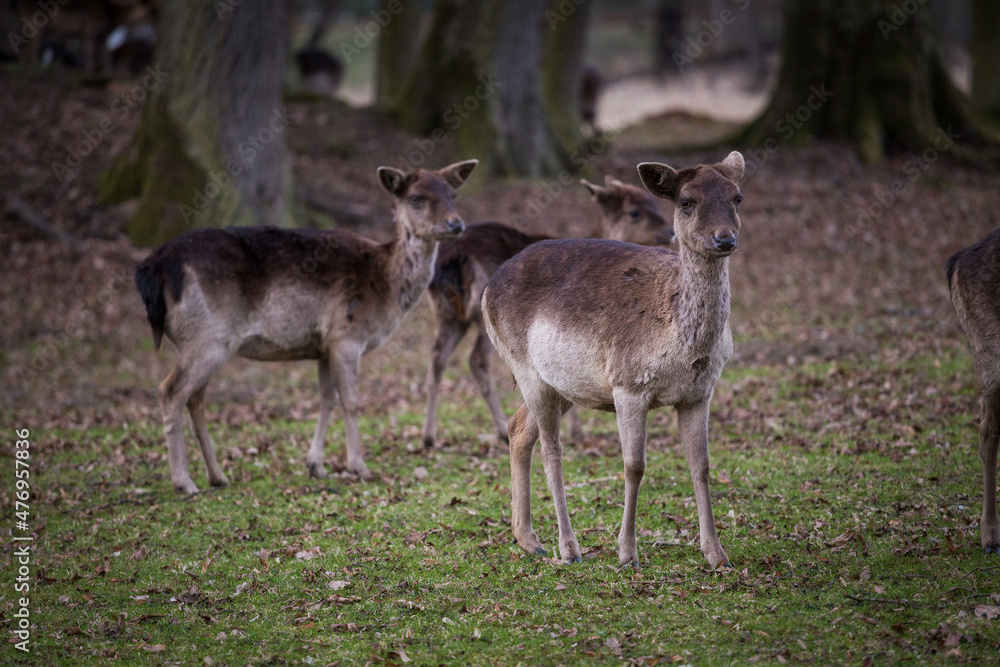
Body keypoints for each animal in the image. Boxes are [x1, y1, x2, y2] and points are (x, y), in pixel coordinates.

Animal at [139, 159, 478, 494]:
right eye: (416, 198)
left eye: (453, 194)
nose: (456, 224)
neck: (386, 284)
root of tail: (154, 268)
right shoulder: (346, 336)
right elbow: (350, 401)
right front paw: (359, 467)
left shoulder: (324, 346)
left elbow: (327, 398)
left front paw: (316, 465)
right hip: (206, 337)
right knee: (170, 391)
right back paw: (184, 482)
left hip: (206, 342)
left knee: (195, 398)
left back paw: (217, 476)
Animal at [422, 177, 672, 448]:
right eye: (634, 212)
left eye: (653, 204)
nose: (670, 231)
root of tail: (453, 259)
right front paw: (576, 432)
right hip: (480, 316)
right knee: (476, 360)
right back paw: (498, 430)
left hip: (447, 314)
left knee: (437, 357)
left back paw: (429, 436)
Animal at [480, 151, 748, 568]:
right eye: (686, 201)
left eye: (737, 197)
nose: (724, 238)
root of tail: (487, 288)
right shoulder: (628, 384)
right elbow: (633, 466)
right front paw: (627, 553)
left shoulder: (700, 392)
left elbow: (701, 466)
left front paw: (717, 555)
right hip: (524, 367)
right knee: (551, 450)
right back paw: (568, 547)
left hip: (563, 386)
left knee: (518, 429)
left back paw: (528, 539)